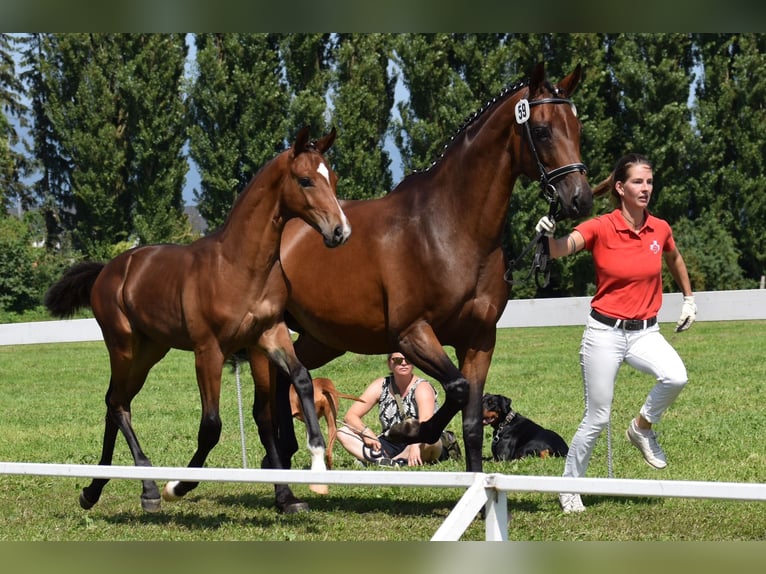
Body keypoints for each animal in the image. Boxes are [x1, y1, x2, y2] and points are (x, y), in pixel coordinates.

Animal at [45, 128, 352, 516]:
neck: (238, 266)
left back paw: (94, 490)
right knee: (117, 404)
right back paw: (147, 488)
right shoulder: (209, 351)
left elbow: (295, 385)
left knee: (115, 403)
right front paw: (178, 486)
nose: (340, 232)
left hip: (150, 351)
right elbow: (212, 425)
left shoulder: (268, 336)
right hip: (123, 346)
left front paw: (308, 469)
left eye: (334, 178)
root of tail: (108, 270)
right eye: (306, 180)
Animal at [255, 62, 596, 512]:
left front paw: (479, 499)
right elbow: (455, 389)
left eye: (577, 126)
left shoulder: (479, 340)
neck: (450, 229)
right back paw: (282, 488)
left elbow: (471, 418)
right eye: (540, 130)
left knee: (286, 381)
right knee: (265, 404)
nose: (580, 199)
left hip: (322, 338)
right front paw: (404, 432)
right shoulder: (412, 333)